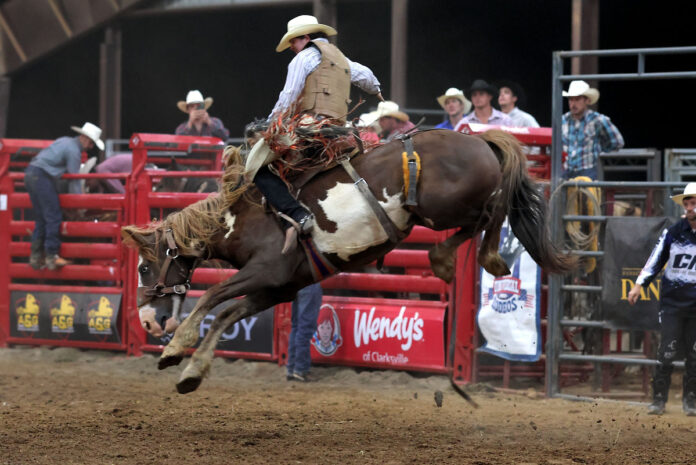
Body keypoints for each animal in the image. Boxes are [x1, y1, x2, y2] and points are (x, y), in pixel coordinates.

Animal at [122, 129, 572, 394]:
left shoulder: (264, 271)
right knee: (489, 215)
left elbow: (212, 295)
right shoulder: (278, 288)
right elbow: (227, 314)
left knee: (491, 213)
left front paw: (173, 348)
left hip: (447, 206)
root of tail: (481, 139)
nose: (145, 319)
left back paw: (470, 258)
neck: (242, 216)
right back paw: (452, 258)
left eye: (143, 267)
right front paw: (191, 372)